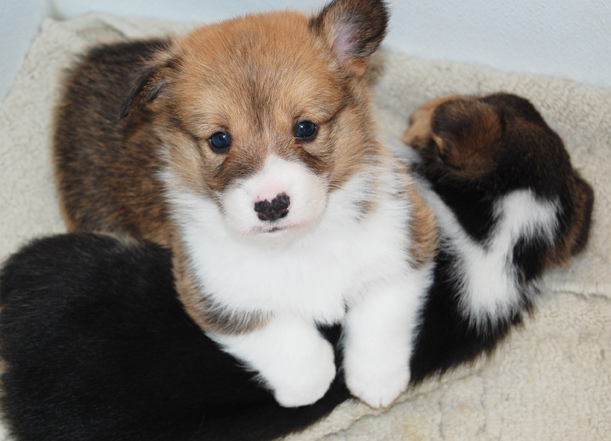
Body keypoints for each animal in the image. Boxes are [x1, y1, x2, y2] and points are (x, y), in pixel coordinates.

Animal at [51, 0, 436, 410]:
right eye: (219, 140)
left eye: (306, 128)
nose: (271, 206)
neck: (296, 243)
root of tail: (88, 64)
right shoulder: (217, 297)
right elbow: (291, 346)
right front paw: (309, 384)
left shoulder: (405, 248)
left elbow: (381, 316)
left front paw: (378, 379)